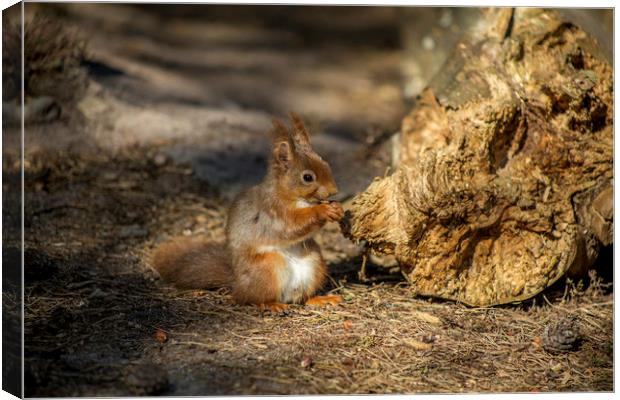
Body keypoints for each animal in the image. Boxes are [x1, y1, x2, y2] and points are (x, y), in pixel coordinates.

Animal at [150, 112, 344, 312]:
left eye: (326, 164)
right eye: (307, 177)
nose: (334, 191)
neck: (293, 197)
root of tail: (238, 284)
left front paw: (338, 208)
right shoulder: (273, 212)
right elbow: (293, 225)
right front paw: (323, 210)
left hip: (314, 262)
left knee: (301, 297)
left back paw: (319, 299)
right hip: (269, 267)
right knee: (251, 298)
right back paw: (272, 304)